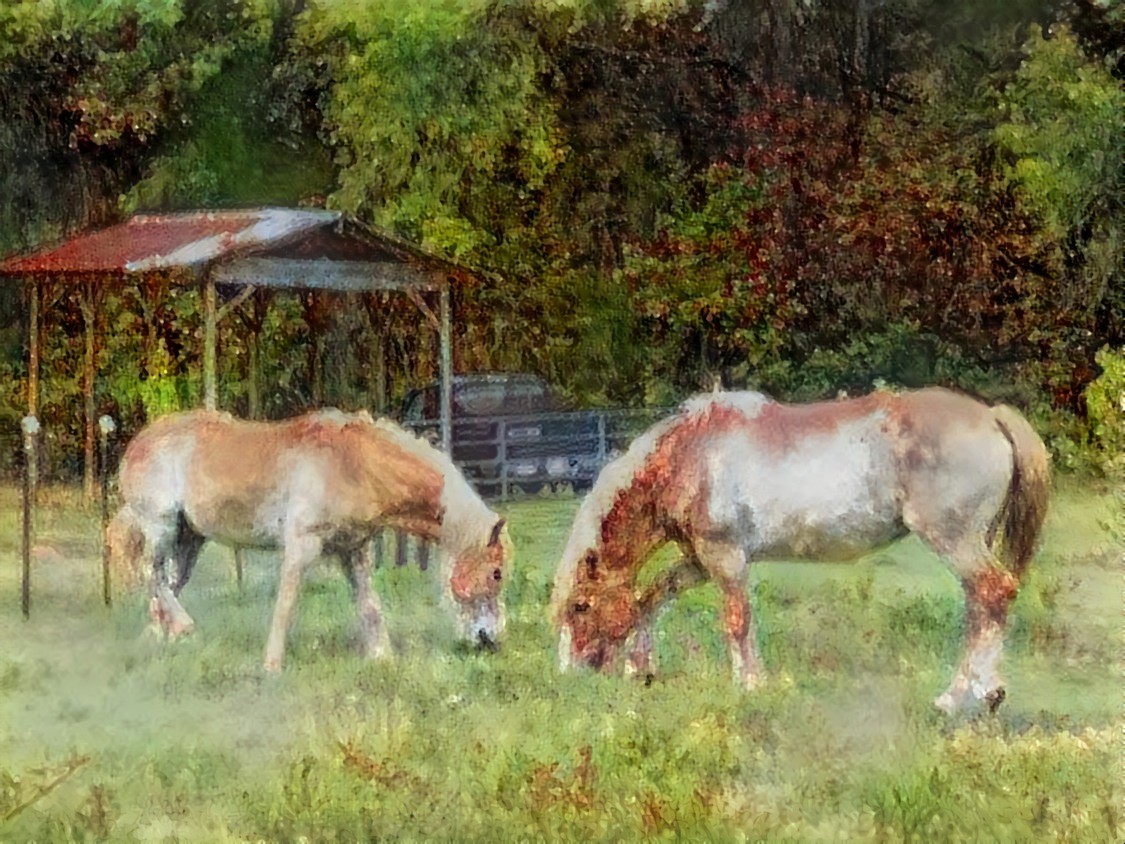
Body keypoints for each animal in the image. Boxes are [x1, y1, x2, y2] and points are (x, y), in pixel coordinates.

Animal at [113, 409, 510, 675]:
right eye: (496, 573)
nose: (490, 640)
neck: (352, 463)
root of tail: (138, 443)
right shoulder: (302, 546)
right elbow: (286, 606)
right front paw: (272, 665)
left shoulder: (354, 550)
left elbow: (369, 605)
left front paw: (382, 657)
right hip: (160, 525)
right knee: (151, 573)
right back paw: (183, 627)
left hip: (190, 539)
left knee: (168, 584)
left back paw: (157, 639)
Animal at [549, 389, 1048, 715]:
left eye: (581, 606)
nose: (571, 674)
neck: (690, 454)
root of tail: (992, 415)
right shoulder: (698, 561)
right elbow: (651, 597)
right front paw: (641, 667)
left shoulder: (725, 558)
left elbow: (736, 621)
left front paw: (750, 685)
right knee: (980, 606)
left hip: (954, 539)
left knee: (993, 593)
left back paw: (966, 696)